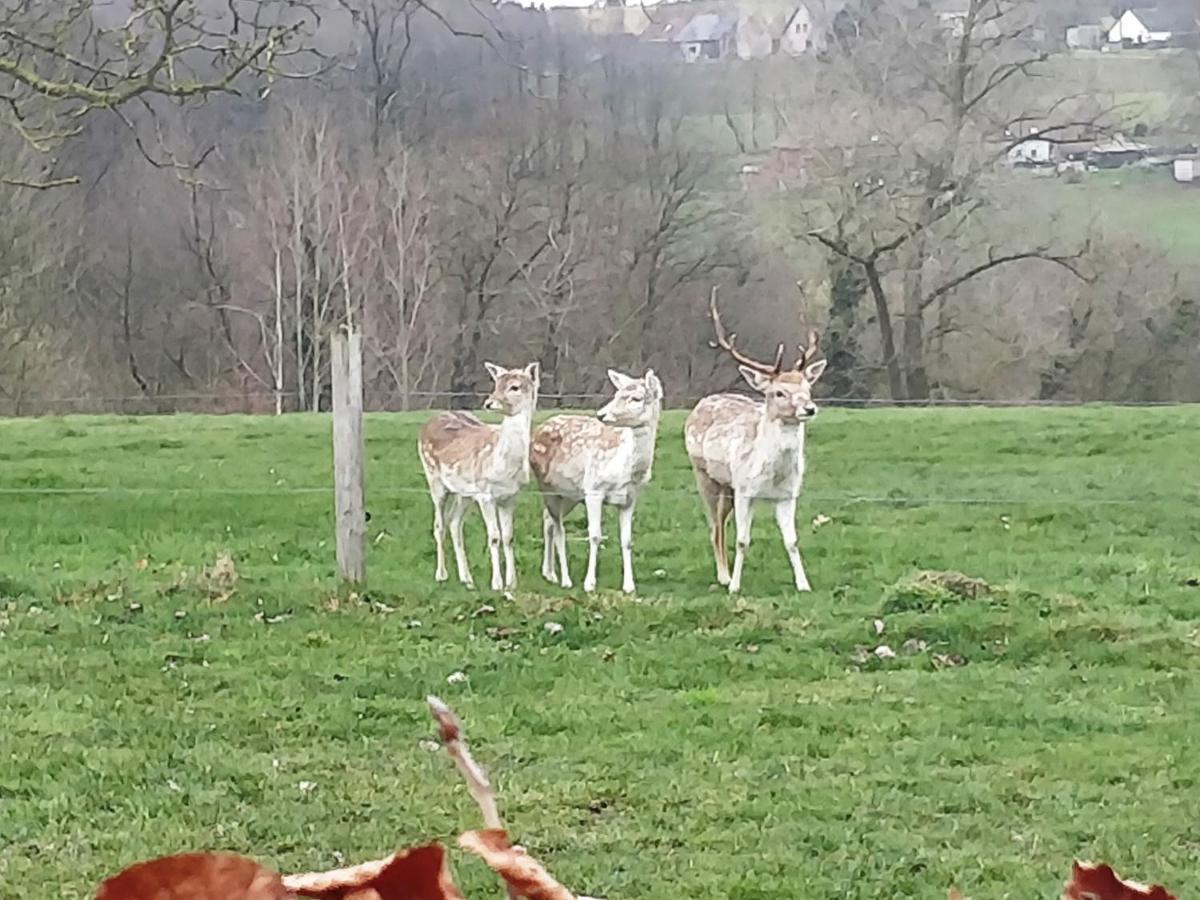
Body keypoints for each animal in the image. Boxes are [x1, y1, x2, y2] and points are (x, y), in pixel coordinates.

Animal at [417, 362, 540, 595]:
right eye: (496, 383)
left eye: (515, 386)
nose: (489, 402)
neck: (503, 467)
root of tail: (427, 424)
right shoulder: (485, 494)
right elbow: (494, 536)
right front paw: (497, 584)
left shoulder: (511, 496)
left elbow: (509, 536)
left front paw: (512, 583)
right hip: (434, 478)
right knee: (439, 525)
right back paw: (441, 575)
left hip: (464, 493)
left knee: (454, 522)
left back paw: (467, 579)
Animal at [535, 369, 667, 595]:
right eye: (617, 394)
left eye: (636, 398)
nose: (601, 414)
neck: (627, 471)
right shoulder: (594, 489)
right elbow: (595, 535)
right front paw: (589, 584)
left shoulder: (630, 498)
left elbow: (627, 540)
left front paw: (629, 586)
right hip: (547, 487)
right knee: (557, 526)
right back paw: (564, 579)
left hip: (569, 495)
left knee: (548, 520)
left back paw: (549, 573)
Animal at [686, 292, 825, 595]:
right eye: (779, 392)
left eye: (808, 388)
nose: (809, 408)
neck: (772, 474)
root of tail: (701, 403)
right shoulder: (745, 490)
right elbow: (742, 540)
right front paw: (735, 587)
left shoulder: (788, 494)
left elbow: (792, 541)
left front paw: (804, 585)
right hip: (705, 476)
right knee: (715, 526)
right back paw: (723, 577)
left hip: (727, 487)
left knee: (719, 524)